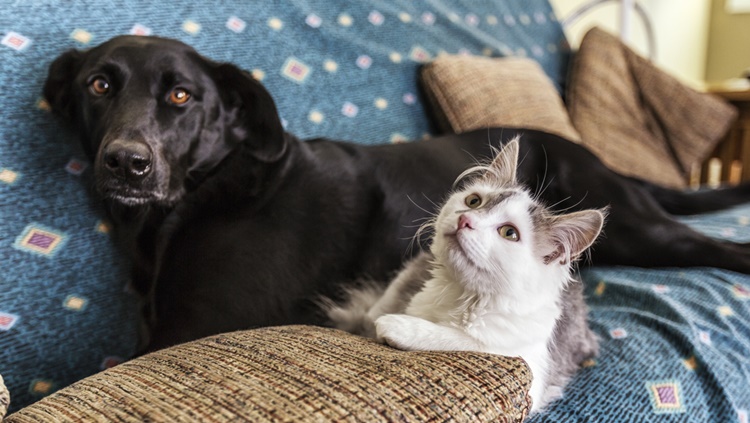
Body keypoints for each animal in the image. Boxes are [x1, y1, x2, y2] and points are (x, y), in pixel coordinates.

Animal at [326, 139, 608, 414]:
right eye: (474, 202)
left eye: (509, 233)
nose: (465, 220)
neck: (460, 293)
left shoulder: (531, 367)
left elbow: (465, 340)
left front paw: (401, 327)